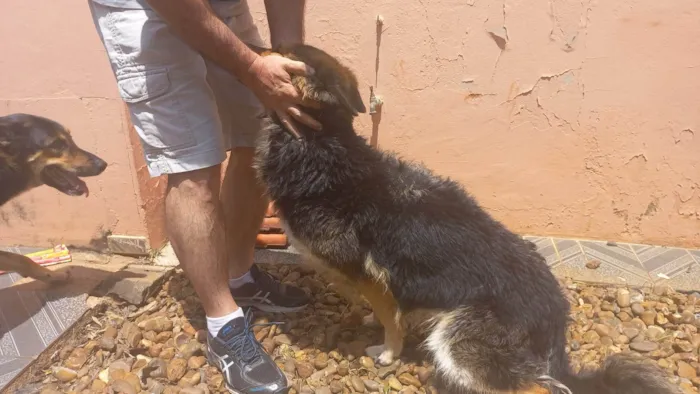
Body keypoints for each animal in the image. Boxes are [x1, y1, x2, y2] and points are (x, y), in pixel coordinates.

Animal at [0, 113, 106, 284]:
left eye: (70, 138)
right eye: (57, 143)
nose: (103, 164)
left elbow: (22, 259)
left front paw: (54, 276)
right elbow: (22, 259)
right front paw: (56, 277)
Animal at [250, 44, 680, 392]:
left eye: (279, 50)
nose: (250, 50)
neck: (322, 148)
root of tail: (555, 314)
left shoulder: (370, 272)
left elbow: (388, 313)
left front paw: (388, 351)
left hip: (457, 339)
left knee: (535, 387)